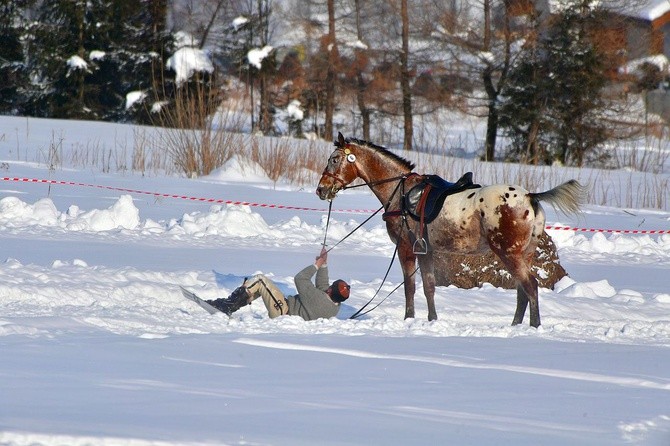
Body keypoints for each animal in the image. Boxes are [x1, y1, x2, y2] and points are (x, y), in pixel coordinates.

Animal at [318, 132, 584, 328]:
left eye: (334, 159)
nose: (321, 189)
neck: (401, 191)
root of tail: (530, 197)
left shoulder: (406, 247)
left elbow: (410, 287)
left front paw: (409, 319)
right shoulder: (426, 251)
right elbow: (429, 287)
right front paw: (431, 320)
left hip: (509, 254)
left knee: (530, 287)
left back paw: (533, 327)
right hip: (524, 254)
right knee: (522, 292)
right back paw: (516, 326)